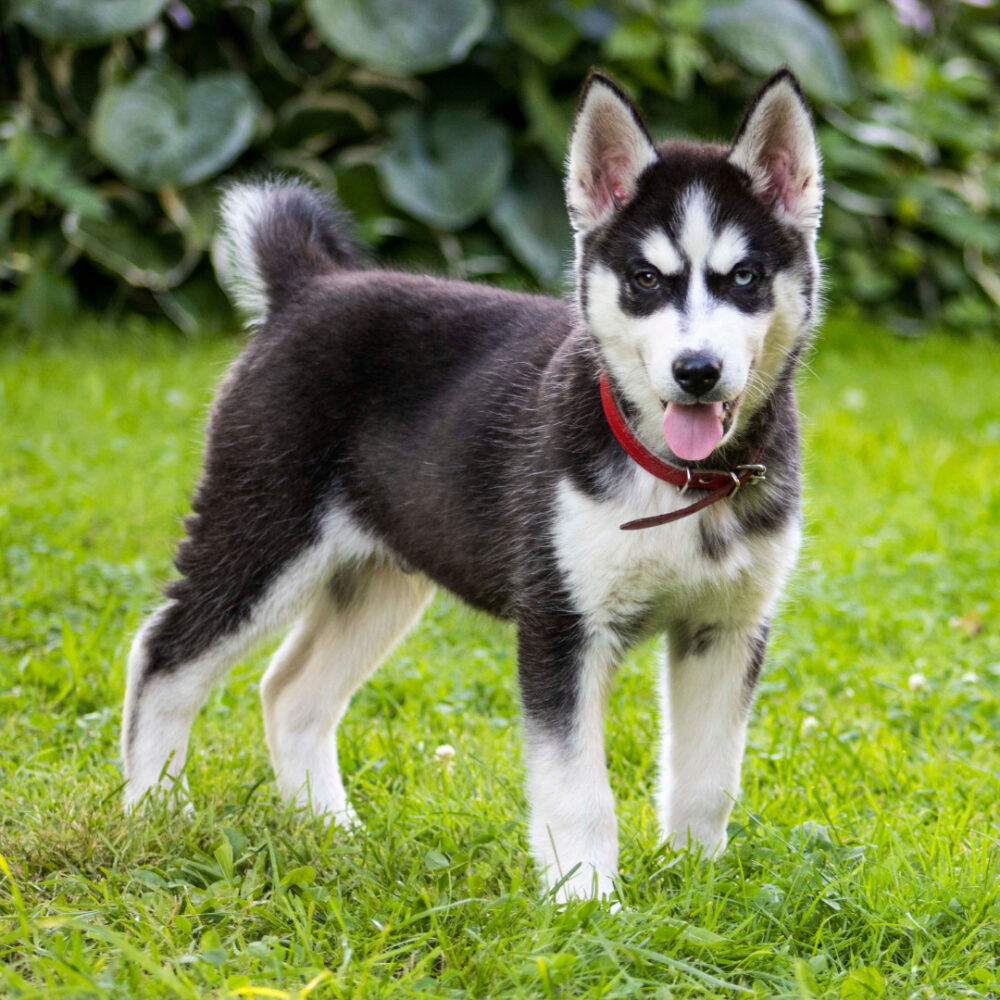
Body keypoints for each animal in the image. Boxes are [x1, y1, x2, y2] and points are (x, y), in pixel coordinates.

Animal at [123, 68, 820, 900]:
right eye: (646, 280)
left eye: (743, 277)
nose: (697, 371)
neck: (684, 480)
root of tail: (311, 287)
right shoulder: (561, 623)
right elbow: (578, 790)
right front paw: (587, 905)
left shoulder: (726, 627)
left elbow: (711, 780)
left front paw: (699, 886)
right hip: (260, 534)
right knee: (162, 656)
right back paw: (154, 811)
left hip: (381, 577)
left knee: (291, 692)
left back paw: (332, 832)